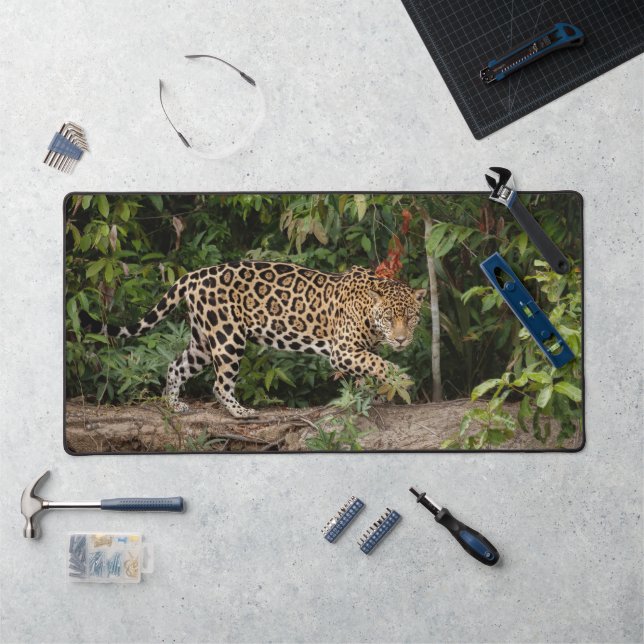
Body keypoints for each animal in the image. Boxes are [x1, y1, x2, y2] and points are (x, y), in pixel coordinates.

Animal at [84, 260, 426, 418]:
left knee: (175, 366)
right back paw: (241, 412)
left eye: (410, 318)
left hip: (202, 341)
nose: (400, 340)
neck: (369, 312)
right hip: (227, 337)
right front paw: (401, 381)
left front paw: (373, 396)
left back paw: (174, 404)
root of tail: (194, 275)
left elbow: (367, 369)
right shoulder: (342, 349)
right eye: (390, 318)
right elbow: (378, 363)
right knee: (219, 383)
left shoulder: (357, 350)